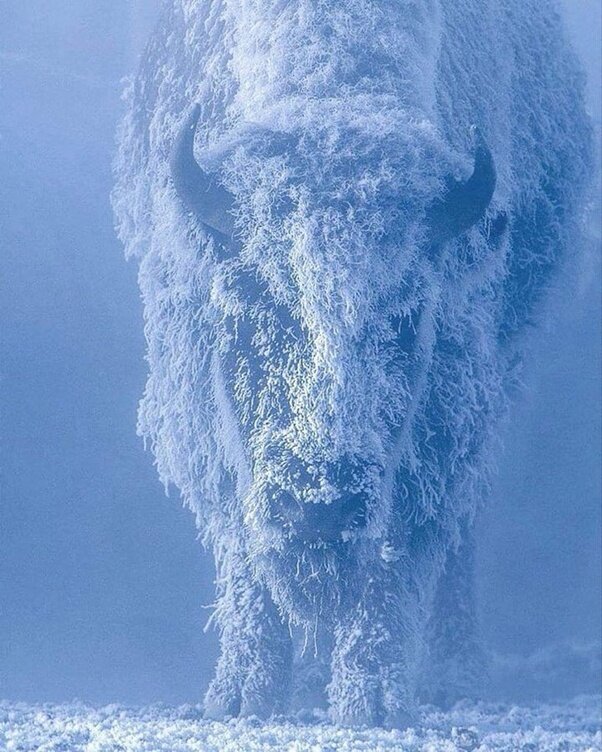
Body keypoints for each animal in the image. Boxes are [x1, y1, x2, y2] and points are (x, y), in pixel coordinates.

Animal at [110, 0, 588, 728]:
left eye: (406, 316)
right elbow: (242, 540)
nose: (320, 502)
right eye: (249, 300)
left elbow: (401, 545)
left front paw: (374, 701)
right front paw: (243, 695)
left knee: (459, 532)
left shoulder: (443, 401)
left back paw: (452, 675)